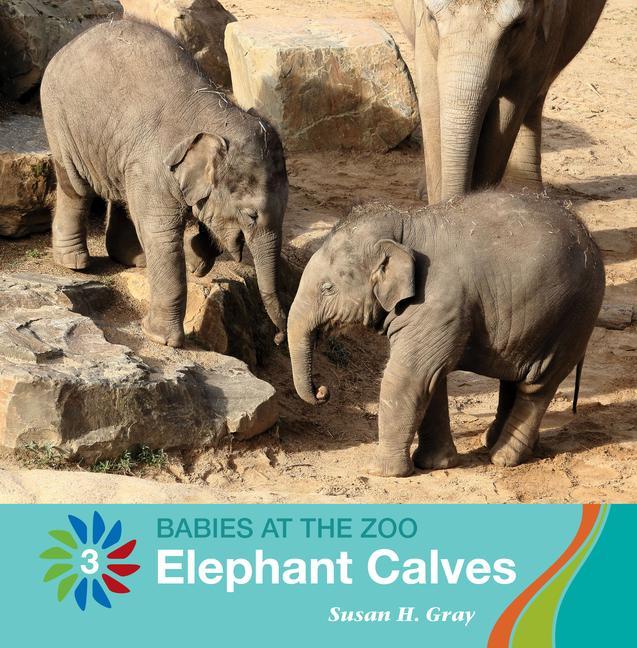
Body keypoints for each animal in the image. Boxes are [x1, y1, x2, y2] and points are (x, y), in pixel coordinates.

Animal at [41, 19, 288, 348]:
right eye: (251, 214)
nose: (278, 338)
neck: (218, 111)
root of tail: (67, 45)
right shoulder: (154, 164)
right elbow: (160, 234)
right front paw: (162, 339)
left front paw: (197, 261)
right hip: (61, 120)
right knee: (78, 188)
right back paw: (75, 263)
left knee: (122, 193)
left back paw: (135, 260)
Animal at [288, 192, 605, 477]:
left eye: (327, 288)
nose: (322, 391)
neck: (405, 225)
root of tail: (589, 237)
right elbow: (432, 379)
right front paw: (435, 464)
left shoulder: (437, 303)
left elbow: (409, 375)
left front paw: (380, 472)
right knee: (513, 380)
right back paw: (496, 443)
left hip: (573, 320)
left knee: (537, 387)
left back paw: (504, 458)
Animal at [393, 0, 606, 203]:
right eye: (432, 18)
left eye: (516, 25)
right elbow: (431, 101)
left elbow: (507, 114)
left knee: (535, 99)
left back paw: (529, 193)